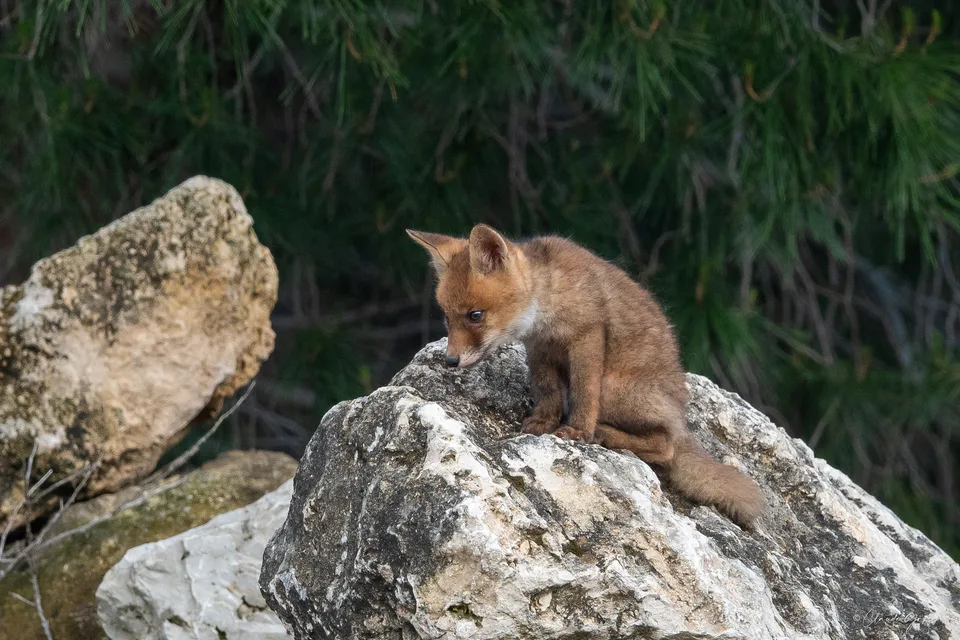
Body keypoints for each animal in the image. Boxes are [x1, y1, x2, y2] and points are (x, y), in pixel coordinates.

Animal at [406, 223, 766, 527]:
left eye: (475, 315)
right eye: (446, 317)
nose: (450, 360)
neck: (548, 300)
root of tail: (682, 417)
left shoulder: (588, 336)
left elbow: (583, 391)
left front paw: (577, 430)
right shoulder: (540, 350)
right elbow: (547, 391)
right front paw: (542, 423)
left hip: (614, 389)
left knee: (666, 448)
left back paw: (604, 434)